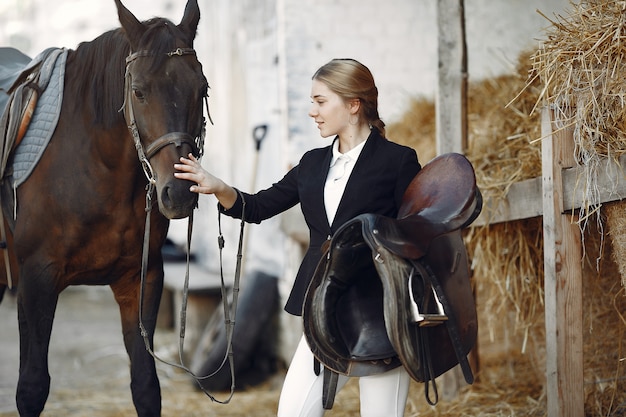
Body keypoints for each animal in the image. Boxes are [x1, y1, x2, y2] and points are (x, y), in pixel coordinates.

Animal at [0, 1, 208, 414]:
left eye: (202, 88)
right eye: (138, 92)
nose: (178, 193)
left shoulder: (140, 279)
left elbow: (145, 385)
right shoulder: (36, 281)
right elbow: (32, 387)